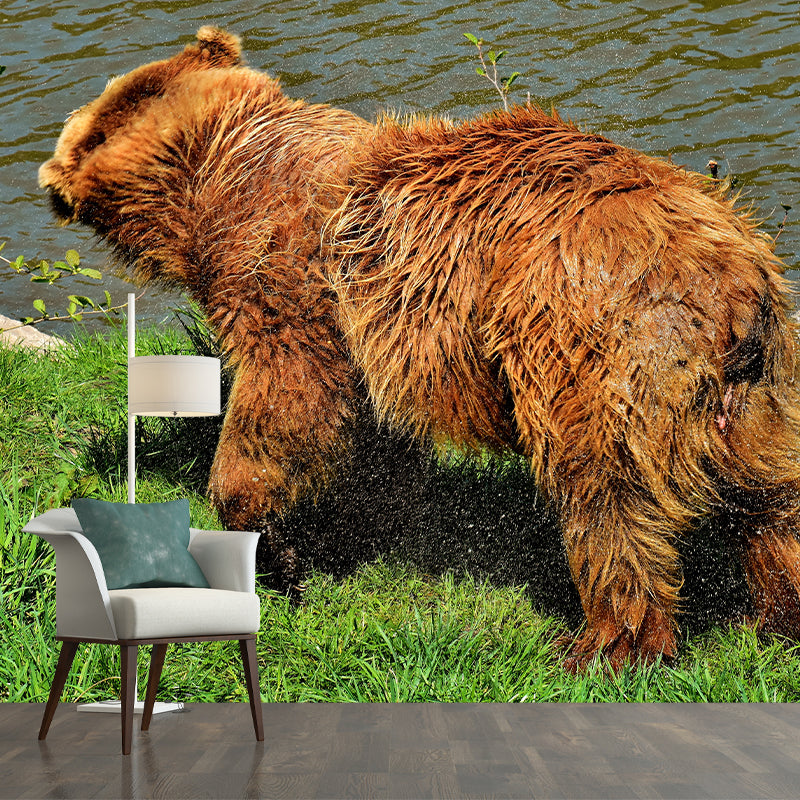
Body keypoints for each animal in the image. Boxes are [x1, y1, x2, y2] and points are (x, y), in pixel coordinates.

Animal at [39, 26, 800, 670]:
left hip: (593, 347)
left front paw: (266, 543)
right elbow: (372, 442)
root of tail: (734, 287)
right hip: (758, 396)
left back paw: (604, 645)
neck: (211, 170)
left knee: (606, 500)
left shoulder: (290, 281)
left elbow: (286, 402)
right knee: (773, 506)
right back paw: (772, 617)